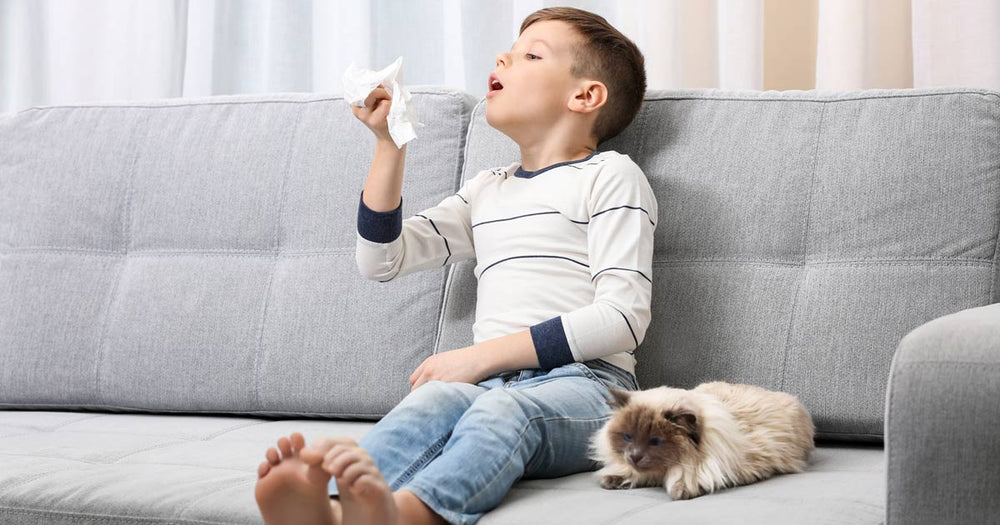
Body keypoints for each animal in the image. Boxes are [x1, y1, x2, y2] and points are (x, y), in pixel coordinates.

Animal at [588, 378, 816, 498]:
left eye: (656, 441)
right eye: (628, 437)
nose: (634, 456)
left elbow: (688, 477)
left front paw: (679, 489)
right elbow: (631, 473)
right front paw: (615, 479)